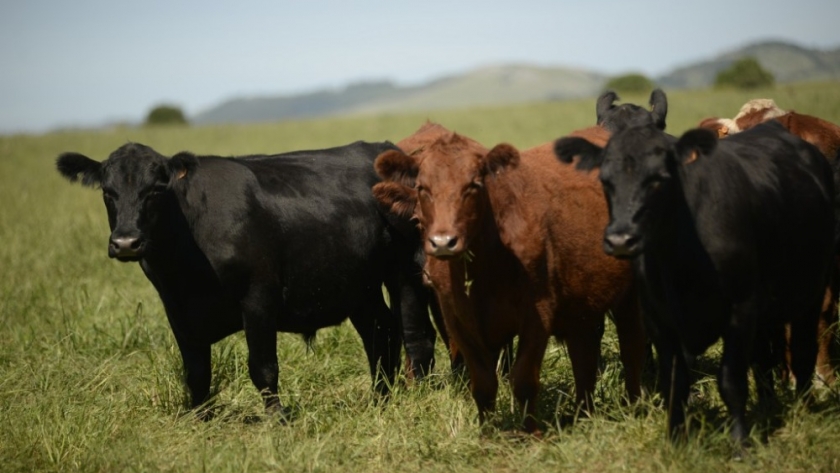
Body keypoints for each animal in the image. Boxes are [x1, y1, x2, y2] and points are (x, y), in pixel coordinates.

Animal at [57, 141, 440, 416]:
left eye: (155, 189)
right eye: (107, 192)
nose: (126, 242)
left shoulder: (258, 297)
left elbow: (262, 366)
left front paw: (276, 418)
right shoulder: (176, 308)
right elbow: (196, 372)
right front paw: (200, 418)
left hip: (405, 272)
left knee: (415, 336)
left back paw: (419, 398)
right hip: (359, 285)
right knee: (380, 332)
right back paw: (380, 398)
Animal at [556, 120, 836, 444]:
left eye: (659, 179)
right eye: (605, 180)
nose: (621, 240)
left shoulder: (740, 312)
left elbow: (731, 381)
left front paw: (740, 443)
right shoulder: (660, 321)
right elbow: (674, 384)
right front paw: (675, 441)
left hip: (812, 293)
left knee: (803, 352)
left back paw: (803, 409)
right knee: (763, 361)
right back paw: (768, 407)